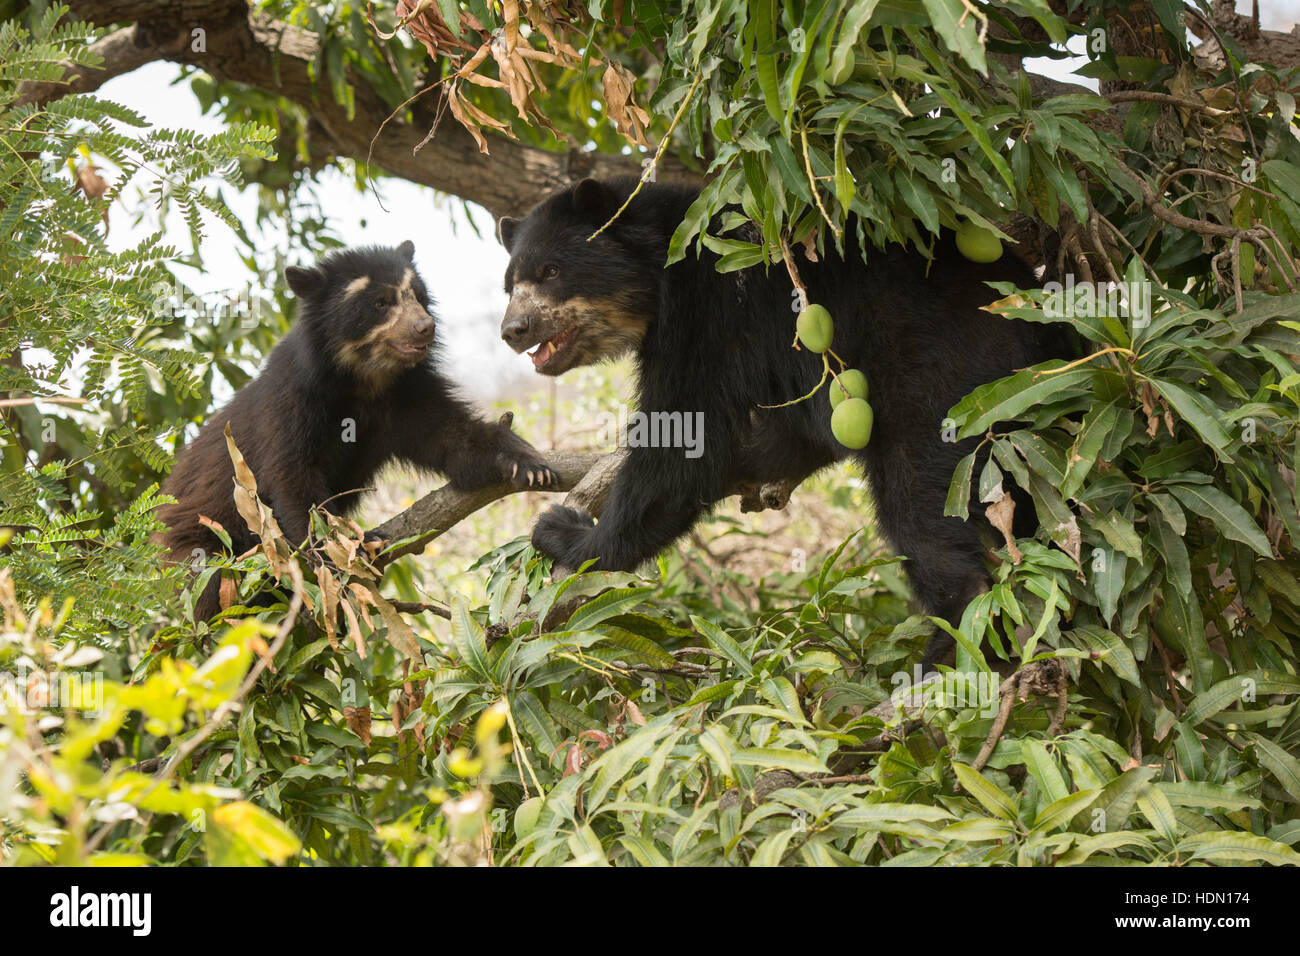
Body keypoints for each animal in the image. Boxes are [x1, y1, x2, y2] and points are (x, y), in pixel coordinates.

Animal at [159, 240, 556, 620]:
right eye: (380, 303)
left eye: (417, 294)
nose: (425, 326)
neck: (366, 379)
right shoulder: (291, 402)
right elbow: (293, 479)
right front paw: (338, 556)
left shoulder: (408, 395)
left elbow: (454, 438)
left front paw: (530, 465)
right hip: (199, 543)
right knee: (208, 582)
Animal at [496, 177, 1074, 665]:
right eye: (509, 284)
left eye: (550, 271)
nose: (513, 330)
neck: (659, 269)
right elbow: (779, 433)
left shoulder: (708, 314)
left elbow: (685, 442)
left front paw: (569, 535)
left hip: (944, 380)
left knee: (918, 505)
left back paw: (944, 656)